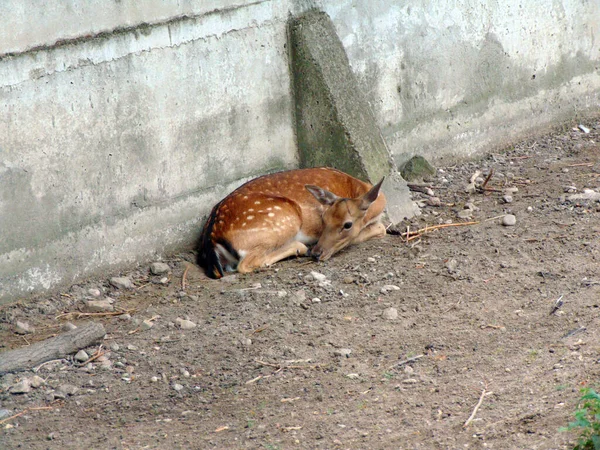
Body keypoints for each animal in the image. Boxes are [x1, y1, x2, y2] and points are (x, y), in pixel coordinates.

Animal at [196, 167, 384, 278]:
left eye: (347, 224)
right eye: (323, 219)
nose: (317, 253)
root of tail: (212, 236)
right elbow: (381, 228)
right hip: (283, 219)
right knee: (246, 264)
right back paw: (300, 247)